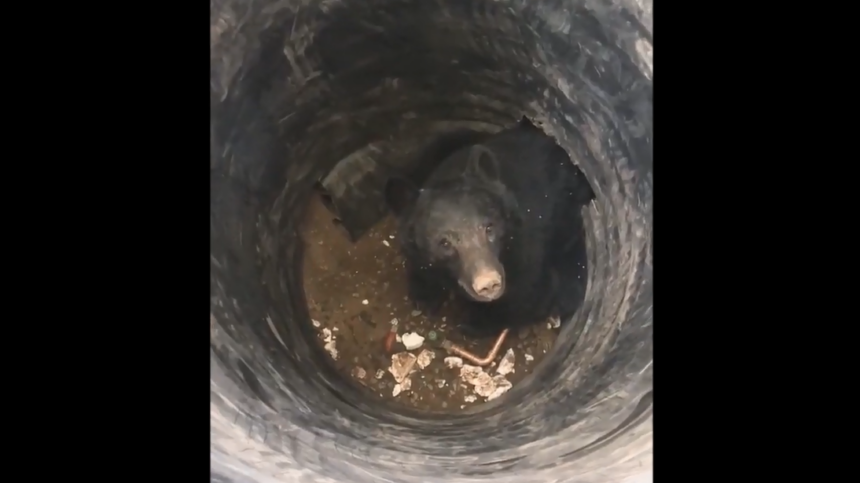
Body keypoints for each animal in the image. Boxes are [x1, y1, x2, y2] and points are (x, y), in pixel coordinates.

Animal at [382, 117, 592, 336]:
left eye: (489, 228)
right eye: (444, 243)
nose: (489, 283)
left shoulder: (528, 255)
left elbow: (530, 296)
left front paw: (474, 323)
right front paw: (424, 296)